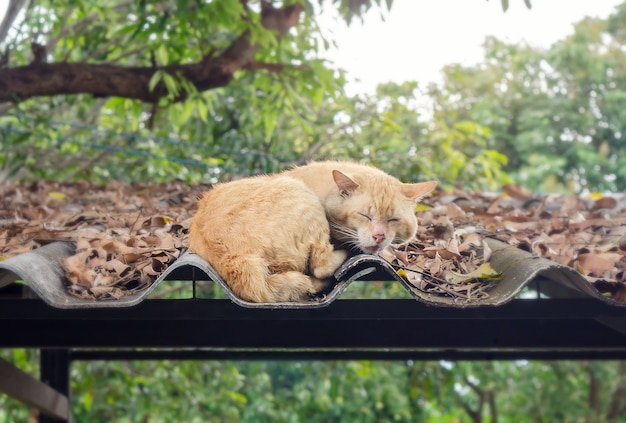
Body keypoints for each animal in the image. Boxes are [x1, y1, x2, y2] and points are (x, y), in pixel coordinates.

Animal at [188, 161, 436, 304]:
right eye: (365, 216)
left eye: (393, 220)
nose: (379, 236)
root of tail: (233, 258)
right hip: (301, 197)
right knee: (320, 265)